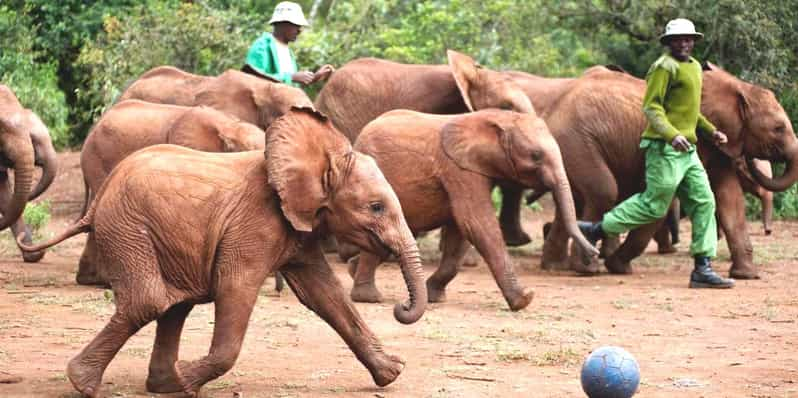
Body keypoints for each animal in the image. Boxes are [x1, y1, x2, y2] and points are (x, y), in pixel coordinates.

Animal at [18, 108, 428, 398]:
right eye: (376, 207)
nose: (400, 308)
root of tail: (98, 200)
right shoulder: (254, 226)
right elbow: (235, 289)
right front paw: (190, 376)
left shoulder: (298, 230)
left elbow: (326, 296)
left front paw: (392, 373)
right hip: (128, 228)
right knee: (150, 301)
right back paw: (86, 383)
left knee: (174, 305)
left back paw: (165, 386)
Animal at [350, 108, 600, 310]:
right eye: (536, 156)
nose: (594, 254)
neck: (499, 118)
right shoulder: (459, 169)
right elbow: (476, 223)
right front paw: (524, 299)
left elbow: (459, 232)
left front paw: (434, 297)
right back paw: (368, 298)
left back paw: (353, 270)